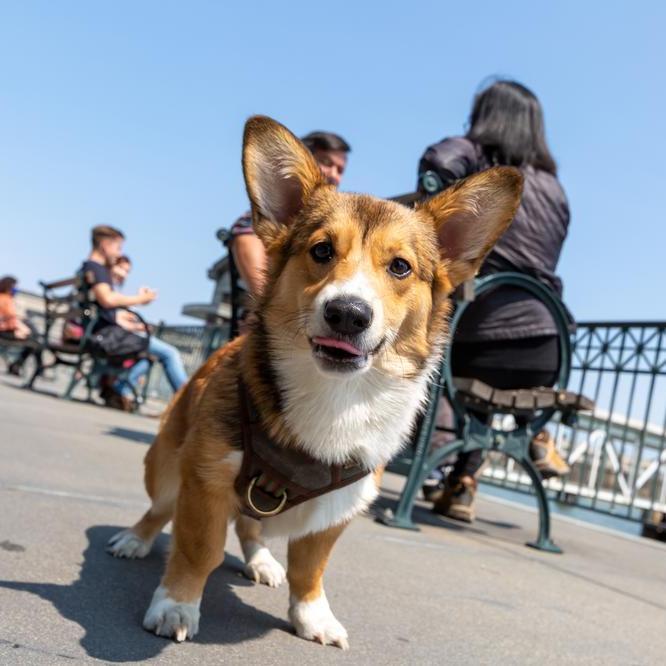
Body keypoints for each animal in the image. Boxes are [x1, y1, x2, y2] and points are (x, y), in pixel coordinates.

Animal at [106, 115, 520, 648]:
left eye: (400, 267)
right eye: (321, 250)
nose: (348, 313)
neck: (337, 396)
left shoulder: (339, 508)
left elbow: (310, 569)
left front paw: (312, 617)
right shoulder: (205, 478)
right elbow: (199, 549)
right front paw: (176, 606)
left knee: (252, 528)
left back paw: (262, 562)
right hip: (165, 466)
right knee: (160, 510)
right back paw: (133, 540)